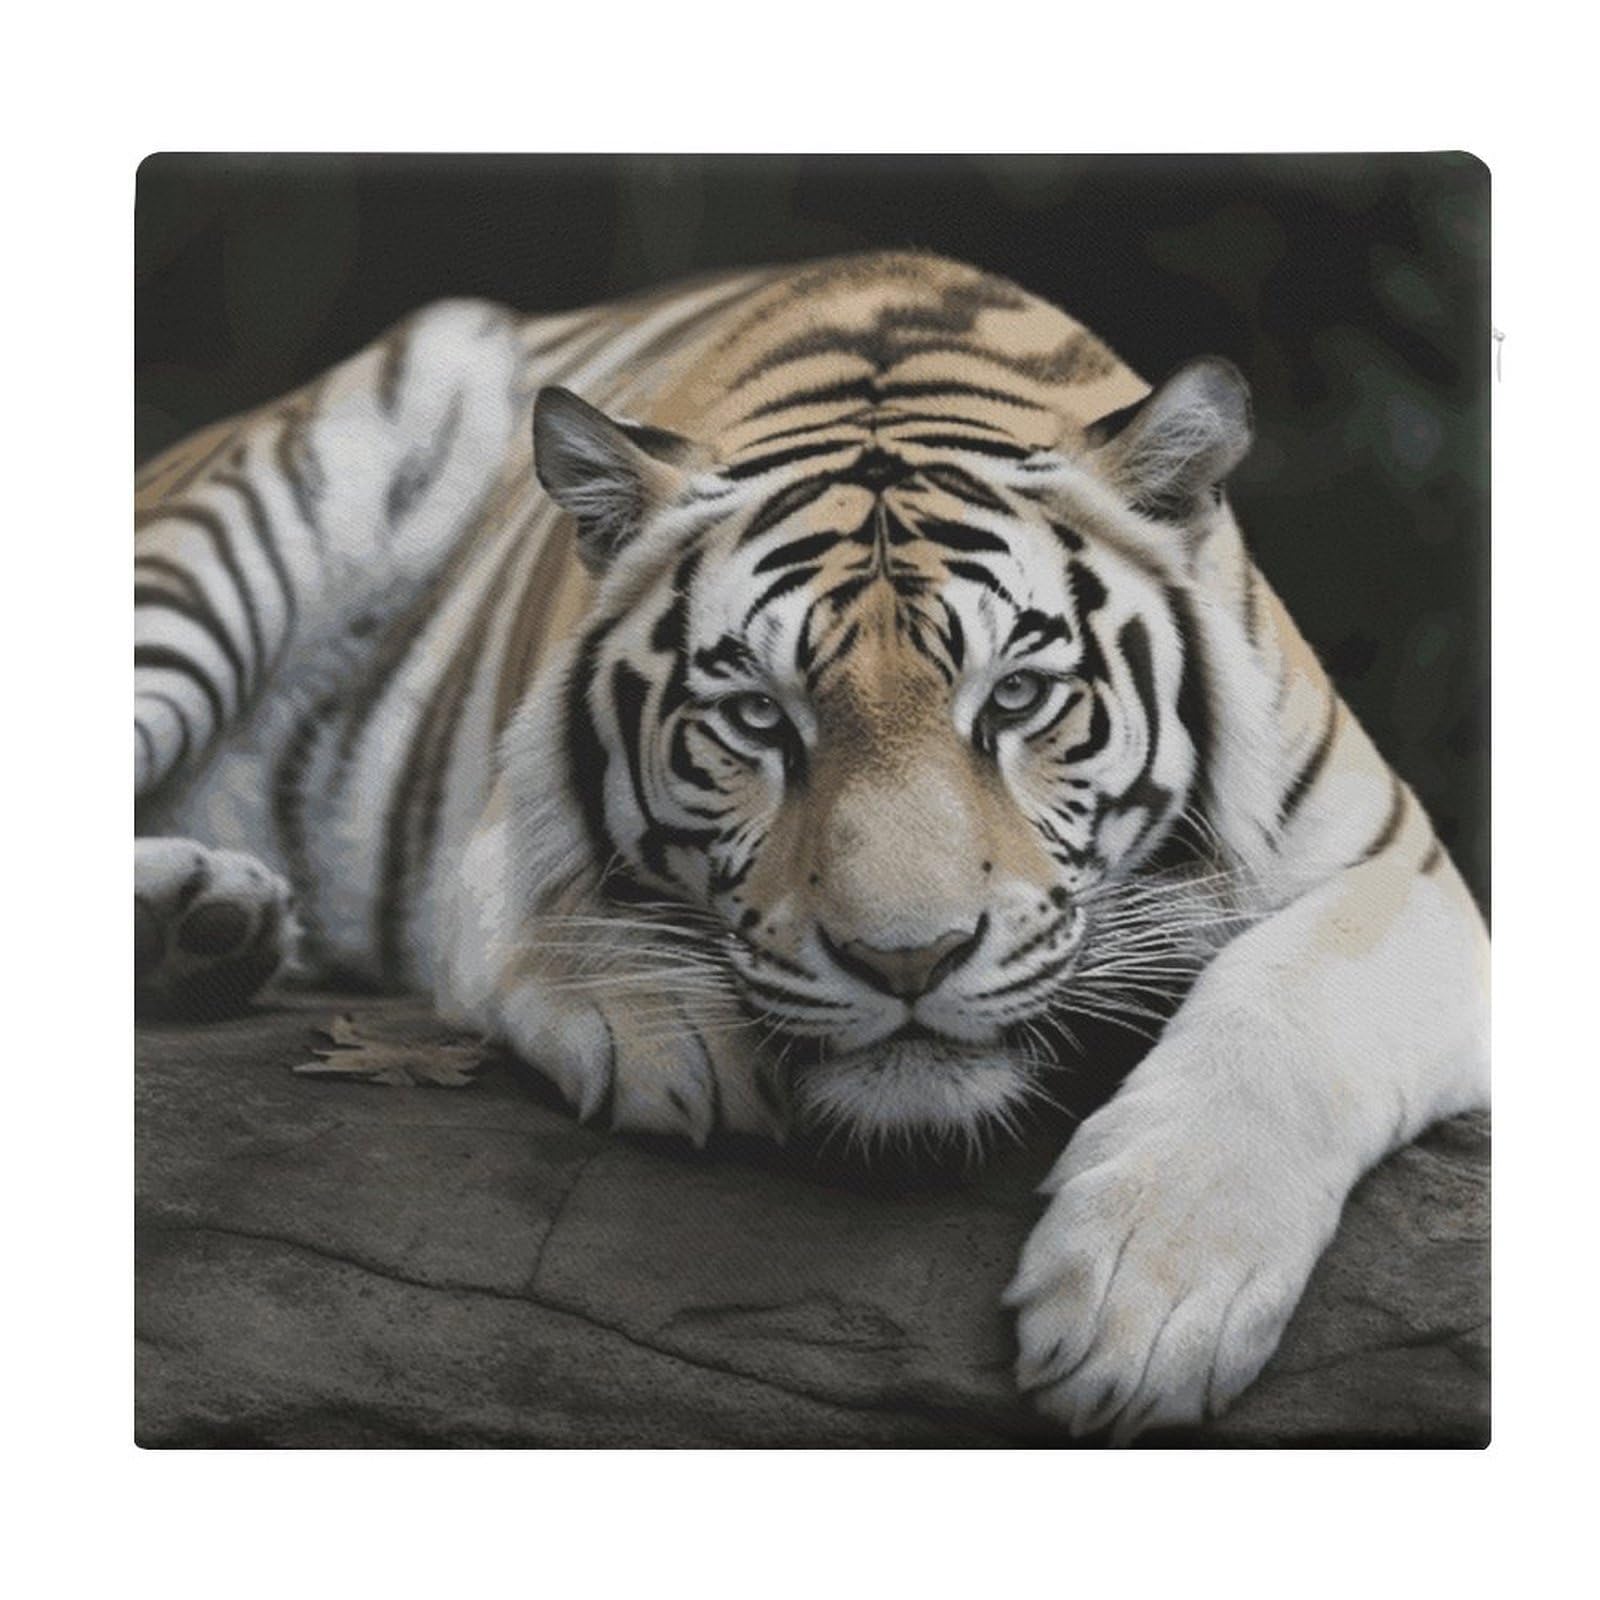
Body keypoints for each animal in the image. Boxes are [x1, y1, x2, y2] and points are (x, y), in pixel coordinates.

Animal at [135, 249, 1489, 1442]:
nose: (907, 962)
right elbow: (567, 910)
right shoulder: (502, 829)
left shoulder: (1406, 873)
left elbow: (1295, 1005)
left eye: (1014, 698)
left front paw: (1146, 1302)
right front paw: (673, 1031)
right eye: (756, 717)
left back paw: (205, 925)